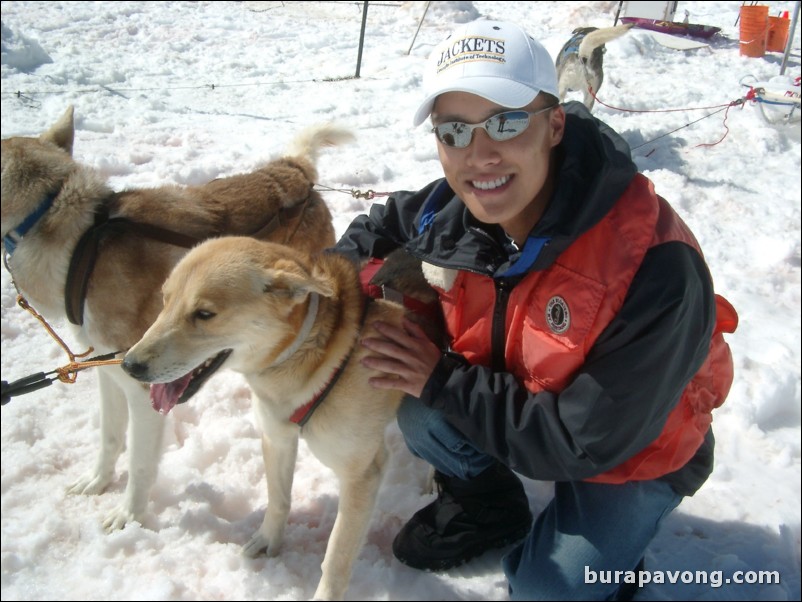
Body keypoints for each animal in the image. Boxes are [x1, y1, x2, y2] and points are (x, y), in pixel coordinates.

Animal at [0, 106, 350, 528]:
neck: (79, 241)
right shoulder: (107, 368)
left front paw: (129, 515)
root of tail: (292, 169)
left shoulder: (139, 385)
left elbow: (139, 463)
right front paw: (97, 481)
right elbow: (109, 437)